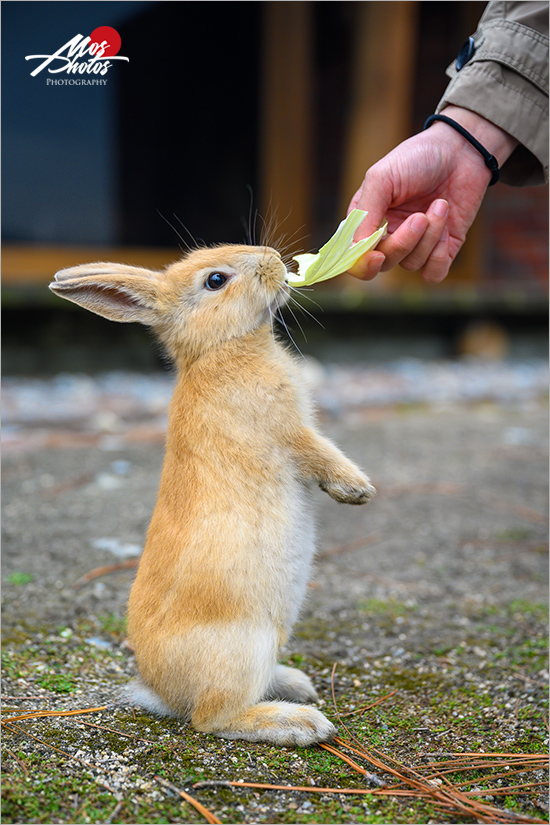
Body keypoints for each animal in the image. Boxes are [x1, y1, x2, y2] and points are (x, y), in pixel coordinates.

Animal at [49, 245, 378, 748]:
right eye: (216, 280)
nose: (273, 259)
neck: (220, 347)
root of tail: (161, 691)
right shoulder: (289, 430)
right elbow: (318, 452)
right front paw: (357, 489)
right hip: (246, 646)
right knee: (211, 718)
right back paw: (298, 722)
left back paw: (295, 684)